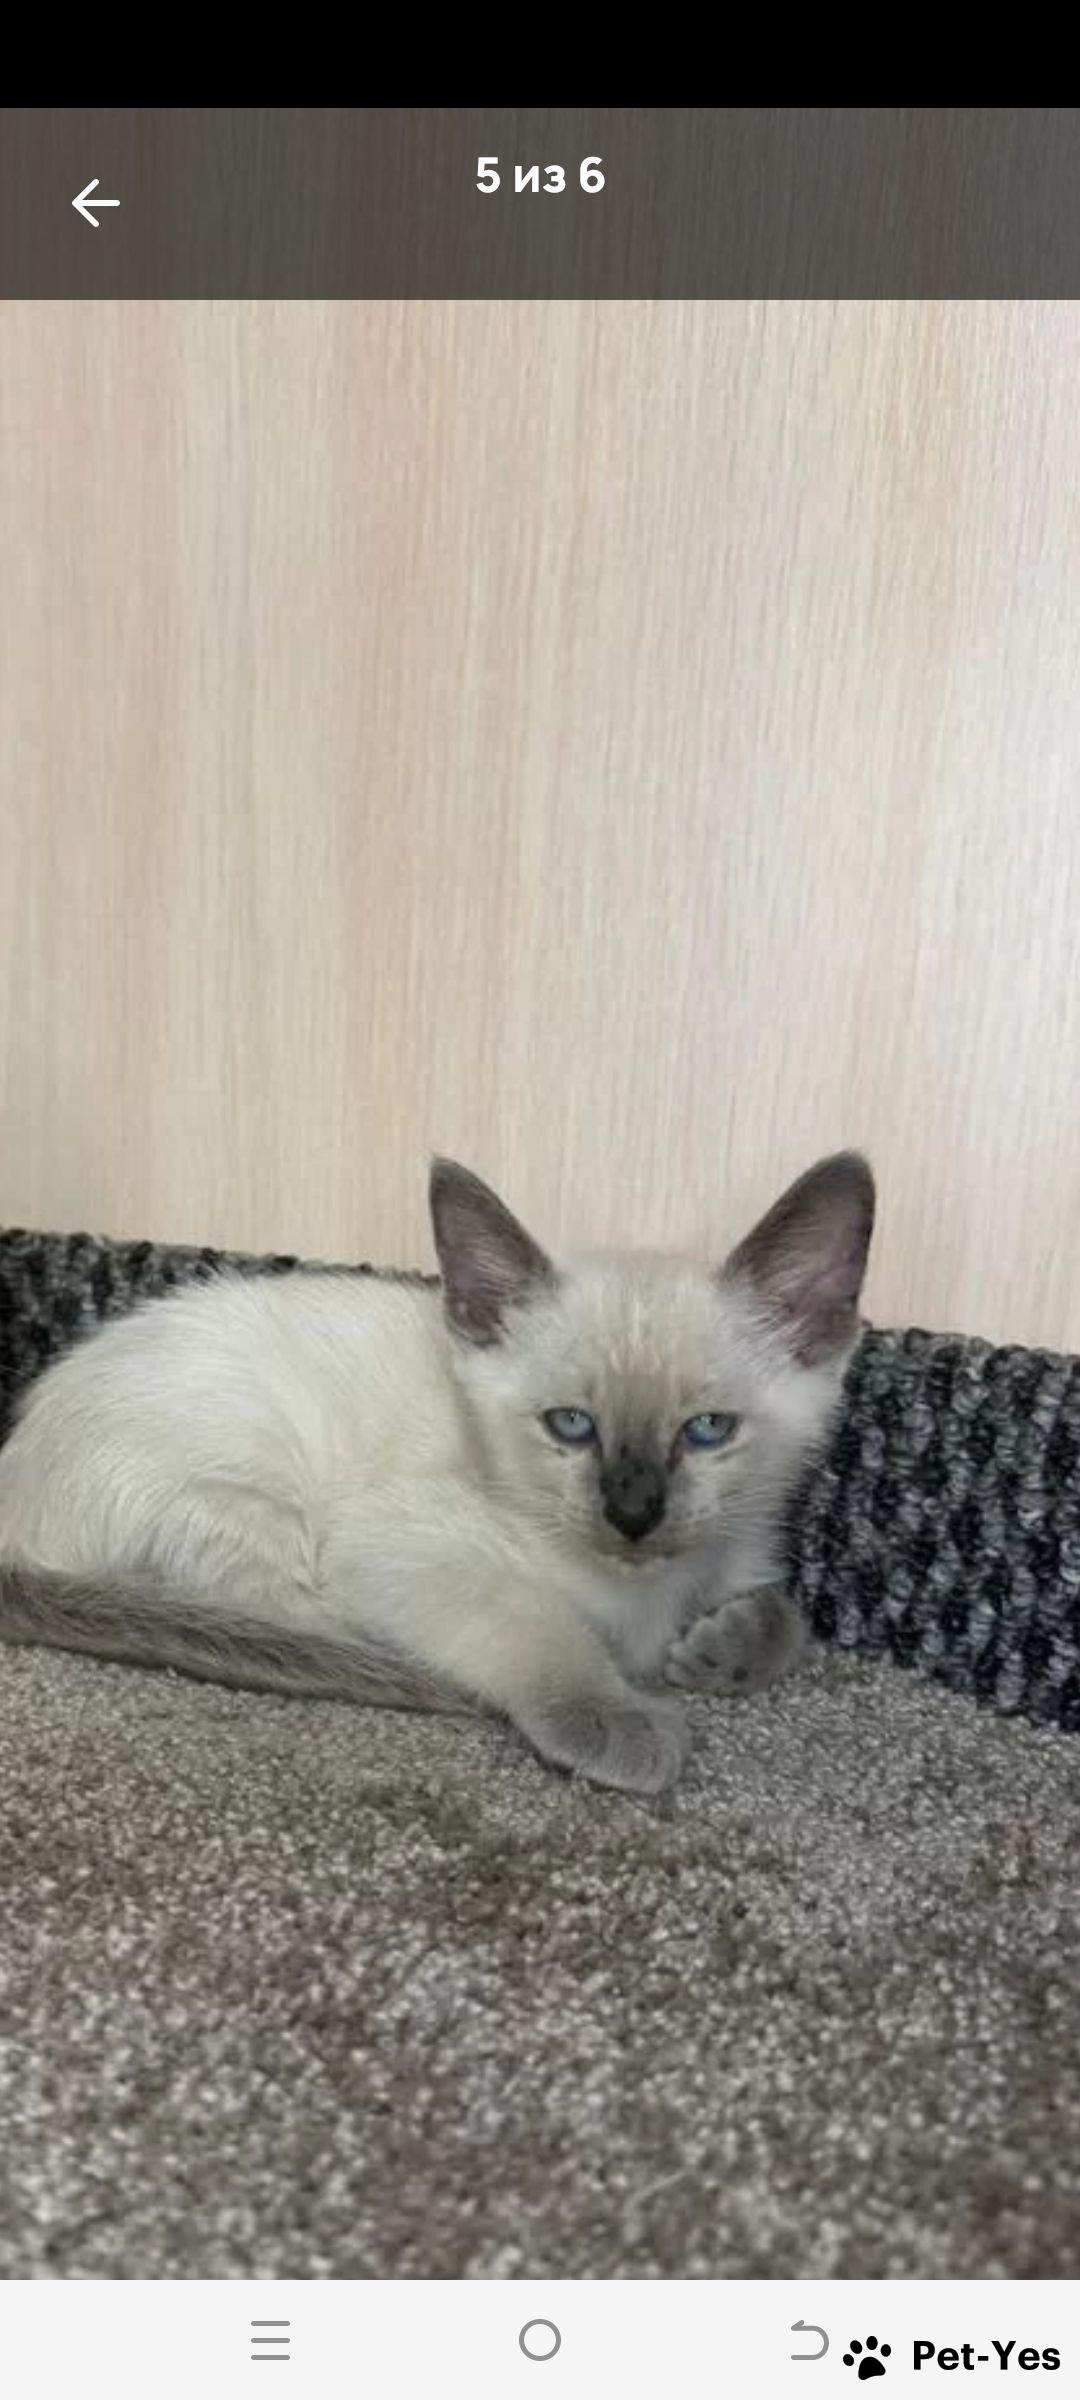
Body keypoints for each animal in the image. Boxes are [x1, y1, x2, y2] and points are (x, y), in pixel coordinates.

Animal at [0, 1150, 874, 1793]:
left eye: (707, 1431)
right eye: (570, 1425)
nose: (633, 1514)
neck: (645, 1595)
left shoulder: (742, 1543)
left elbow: (789, 1618)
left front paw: (723, 1649)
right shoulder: (408, 1548)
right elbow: (538, 1626)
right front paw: (621, 1719)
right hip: (253, 1507)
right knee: (277, 1625)